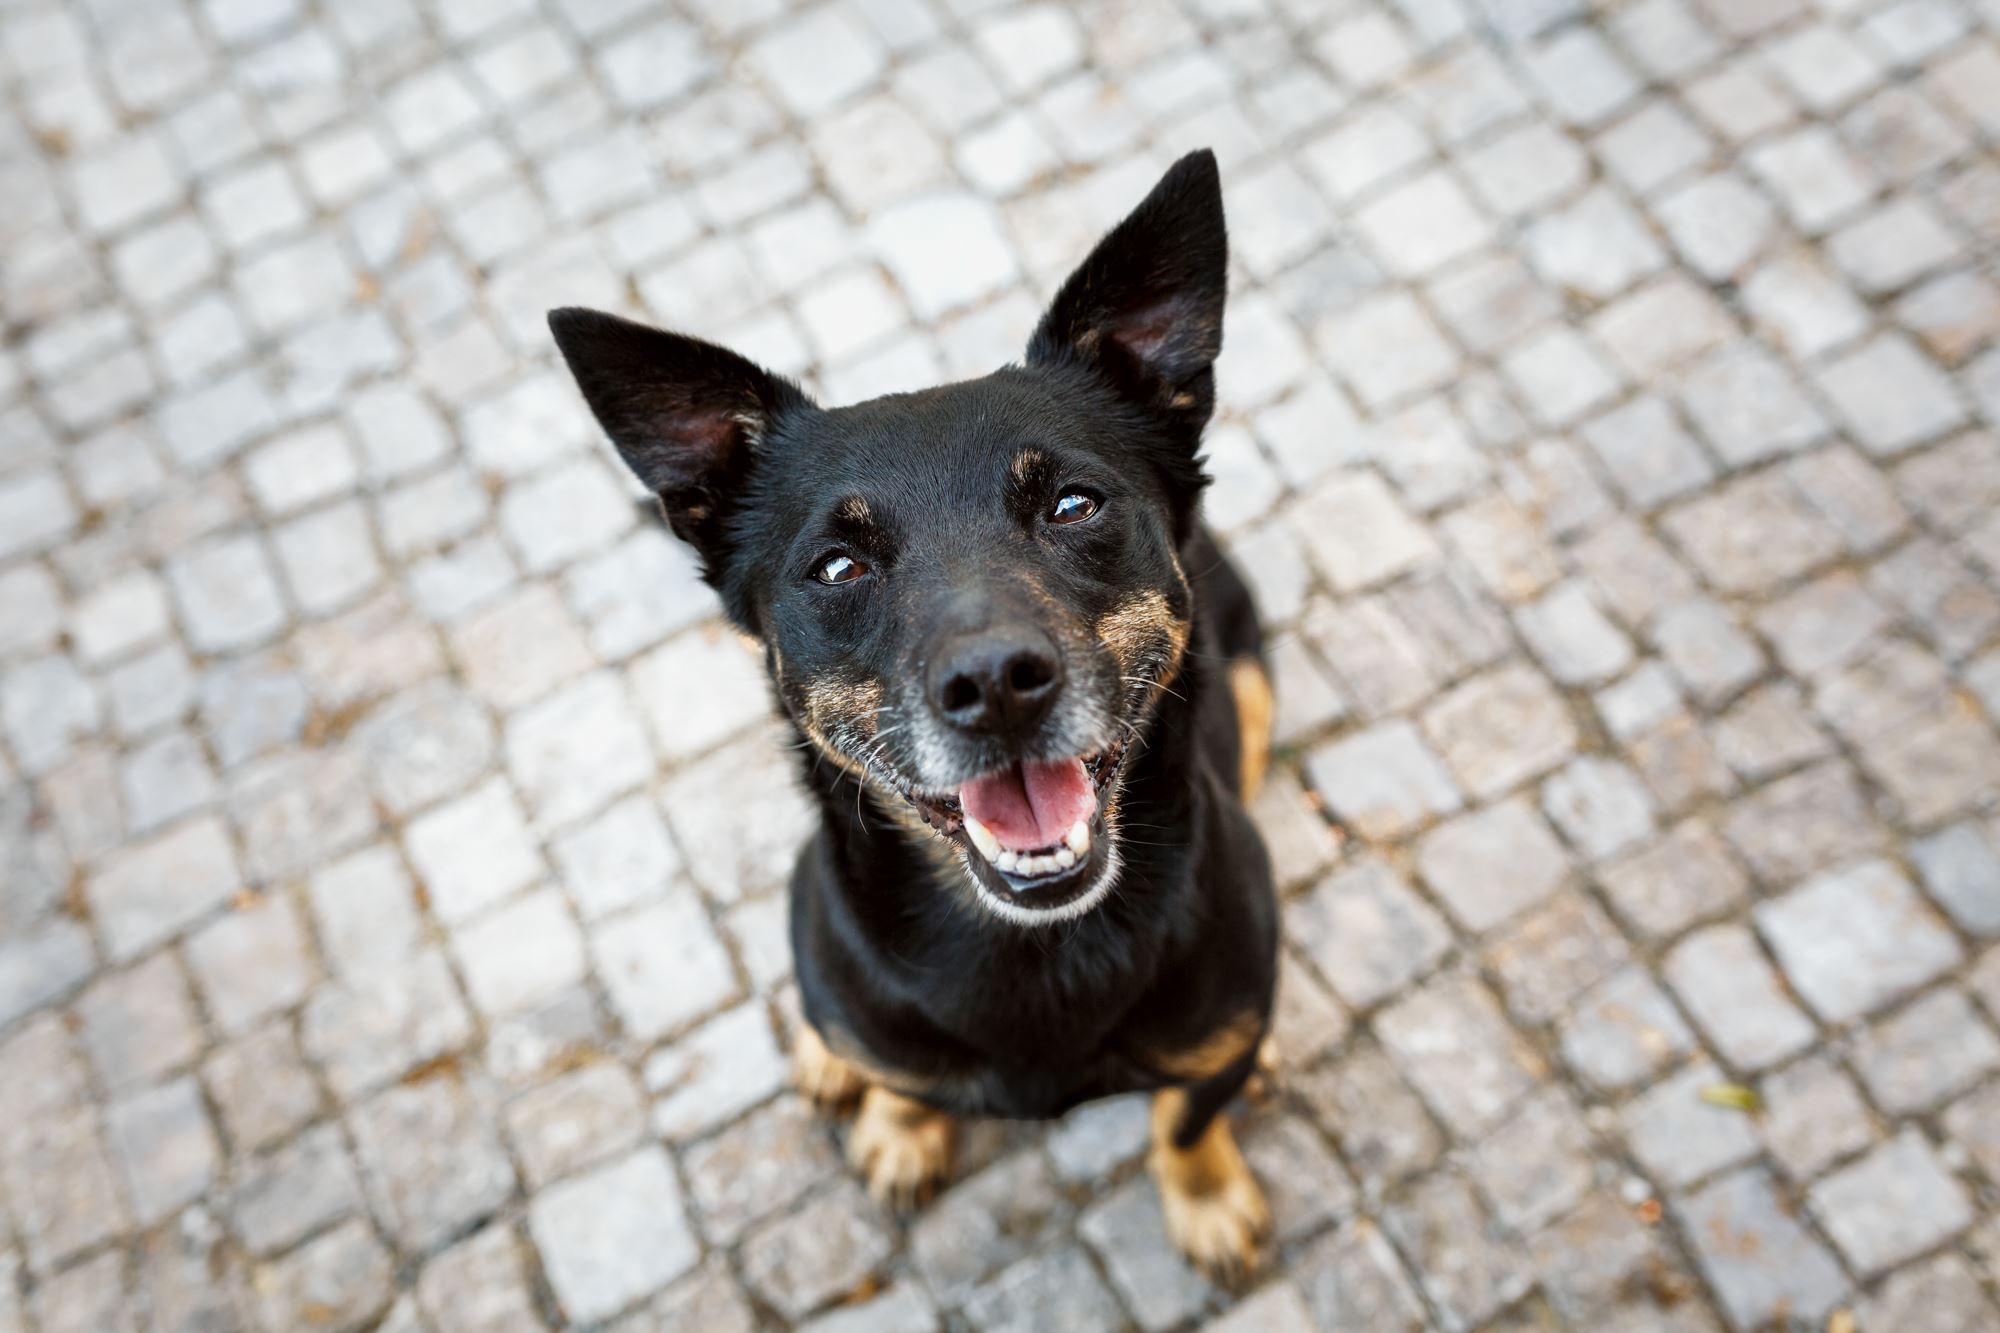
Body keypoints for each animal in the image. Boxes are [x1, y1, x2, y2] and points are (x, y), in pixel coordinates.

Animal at [552, 148, 1280, 1280]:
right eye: (837, 565)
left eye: (1074, 504)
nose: (995, 682)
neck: (1029, 951)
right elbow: (898, 1077)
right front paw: (898, 1126)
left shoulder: (1218, 1034)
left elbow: (1187, 1116)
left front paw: (1205, 1196)